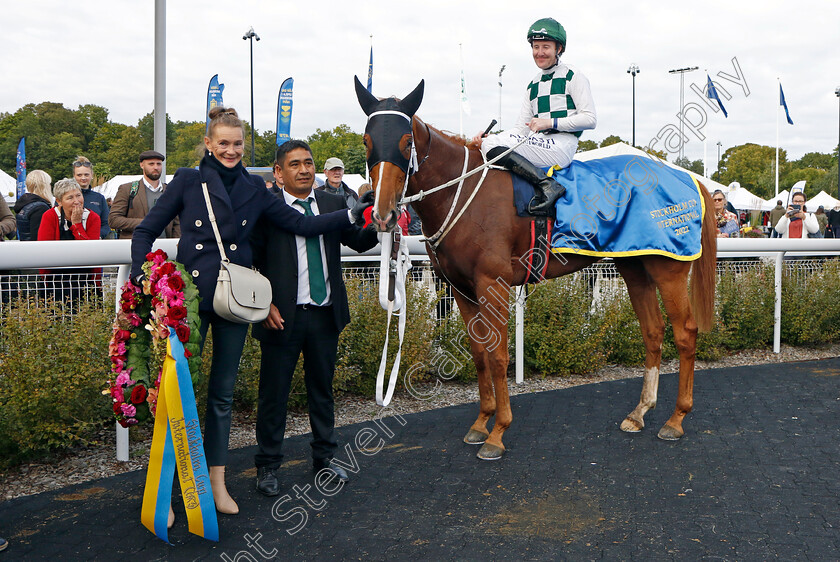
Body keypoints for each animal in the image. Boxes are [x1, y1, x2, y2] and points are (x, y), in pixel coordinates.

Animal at [358, 79, 720, 458]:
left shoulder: (492, 284)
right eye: (367, 141)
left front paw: (498, 432)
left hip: (669, 269)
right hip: (635, 265)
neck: (463, 190)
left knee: (685, 332)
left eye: (406, 141)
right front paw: (480, 423)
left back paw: (676, 419)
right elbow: (478, 354)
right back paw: (639, 413)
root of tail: (687, 178)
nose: (382, 213)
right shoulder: (460, 288)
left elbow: (498, 356)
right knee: (653, 331)